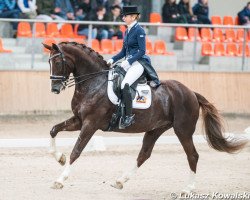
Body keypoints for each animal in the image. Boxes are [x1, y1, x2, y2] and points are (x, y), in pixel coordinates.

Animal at [43, 42, 246, 194]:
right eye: (49, 62)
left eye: (58, 61)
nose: (54, 89)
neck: (94, 83)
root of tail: (191, 93)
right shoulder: (79, 120)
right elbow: (53, 130)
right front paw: (59, 158)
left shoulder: (90, 124)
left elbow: (76, 150)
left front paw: (60, 180)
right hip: (156, 129)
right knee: (144, 154)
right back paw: (120, 181)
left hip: (183, 130)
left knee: (192, 155)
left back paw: (187, 189)